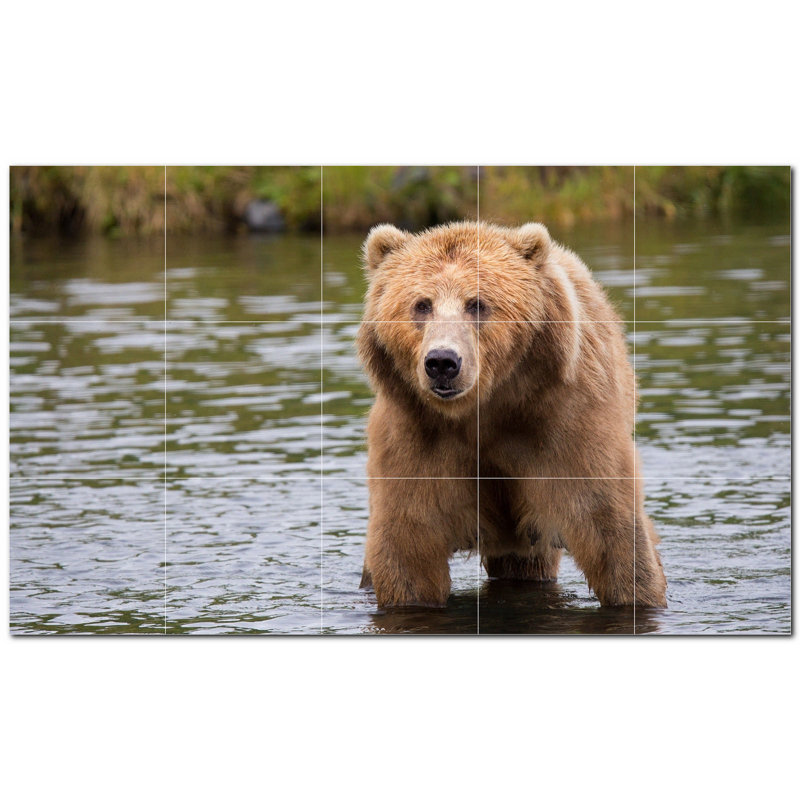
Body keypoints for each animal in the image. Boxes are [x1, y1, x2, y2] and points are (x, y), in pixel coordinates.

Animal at [356, 221, 667, 610]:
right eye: (421, 304)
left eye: (477, 304)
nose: (442, 362)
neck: (485, 409)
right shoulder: (416, 437)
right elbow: (408, 545)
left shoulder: (564, 424)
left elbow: (609, 527)